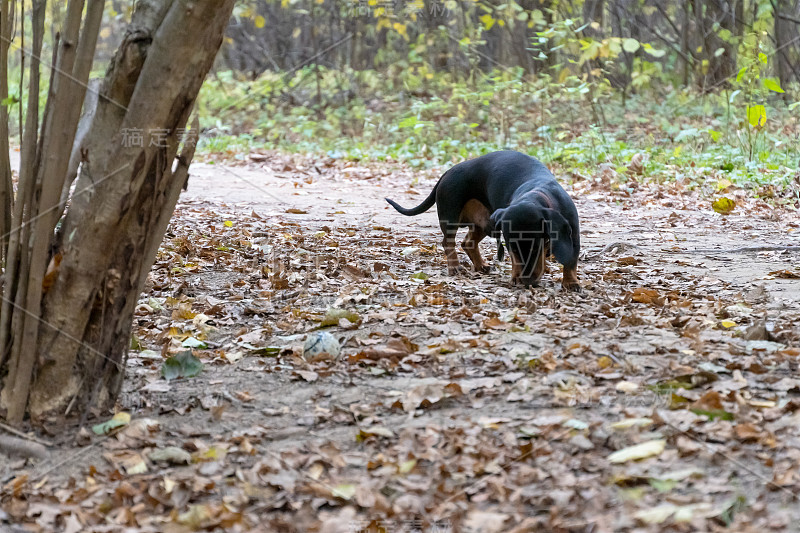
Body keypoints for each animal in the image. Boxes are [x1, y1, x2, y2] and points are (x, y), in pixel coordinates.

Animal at [384, 150, 580, 290]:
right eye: (511, 248)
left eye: (537, 247)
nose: (527, 281)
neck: (538, 193)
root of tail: (447, 172)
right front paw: (516, 277)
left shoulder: (574, 236)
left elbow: (571, 260)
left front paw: (570, 283)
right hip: (451, 215)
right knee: (448, 242)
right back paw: (455, 267)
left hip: (485, 224)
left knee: (468, 243)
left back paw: (480, 266)